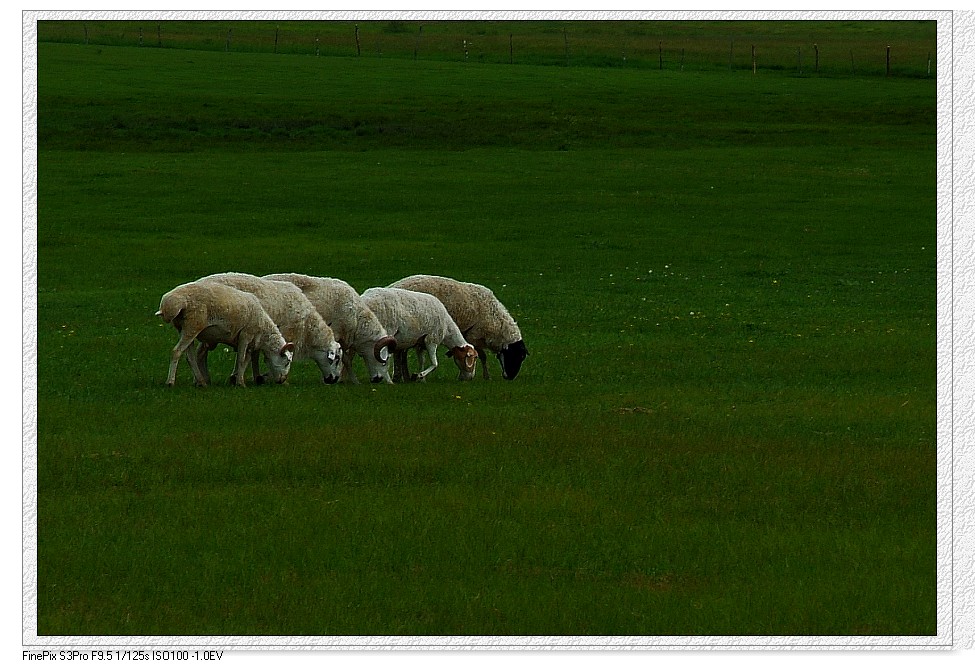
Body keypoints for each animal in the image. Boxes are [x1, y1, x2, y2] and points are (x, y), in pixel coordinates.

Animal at [154, 278, 294, 384]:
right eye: (287, 362)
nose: (283, 380)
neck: (264, 329)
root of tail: (169, 303)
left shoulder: (251, 343)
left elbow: (246, 360)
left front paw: (238, 379)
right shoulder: (245, 335)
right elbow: (241, 359)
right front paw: (240, 383)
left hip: (182, 328)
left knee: (190, 357)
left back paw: (201, 382)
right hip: (193, 325)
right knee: (176, 352)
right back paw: (170, 382)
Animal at [194, 270, 344, 384]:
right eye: (337, 359)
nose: (334, 379)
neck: (307, 329)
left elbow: (253, 355)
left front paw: (252, 377)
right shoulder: (282, 336)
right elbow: (269, 357)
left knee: (200, 352)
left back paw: (203, 379)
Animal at [264, 272, 396, 384]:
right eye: (385, 361)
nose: (378, 379)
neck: (357, 320)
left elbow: (346, 359)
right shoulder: (336, 334)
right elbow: (342, 358)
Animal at [386, 274, 528, 378]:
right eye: (517, 356)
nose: (510, 377)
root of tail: (392, 286)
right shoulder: (473, 335)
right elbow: (482, 355)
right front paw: (483, 376)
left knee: (401, 352)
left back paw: (402, 376)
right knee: (400, 352)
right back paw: (400, 376)